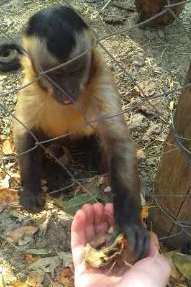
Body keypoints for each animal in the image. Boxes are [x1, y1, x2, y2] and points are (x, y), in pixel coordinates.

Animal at [13, 5, 149, 260]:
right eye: (55, 75)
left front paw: (129, 222)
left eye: (74, 71)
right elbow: (25, 131)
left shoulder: (101, 78)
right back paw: (55, 172)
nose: (67, 92)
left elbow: (119, 143)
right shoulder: (31, 84)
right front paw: (31, 189)